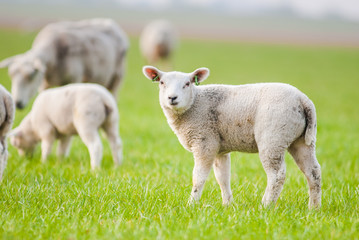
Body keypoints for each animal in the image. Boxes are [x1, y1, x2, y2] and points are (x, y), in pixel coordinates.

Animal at [0, 18, 129, 109]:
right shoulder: (45, 85)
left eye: (32, 76)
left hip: (117, 77)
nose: (17, 103)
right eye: (11, 76)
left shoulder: (74, 79)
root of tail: (111, 22)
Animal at [143, 65, 324, 208]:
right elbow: (223, 177)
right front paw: (227, 205)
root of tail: (303, 100)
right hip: (302, 140)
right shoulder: (219, 149)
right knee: (313, 172)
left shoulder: (204, 142)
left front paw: (191, 204)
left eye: (187, 84)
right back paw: (313, 208)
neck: (195, 104)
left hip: (273, 136)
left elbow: (198, 177)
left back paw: (265, 205)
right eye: (162, 83)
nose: (172, 98)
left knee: (277, 175)